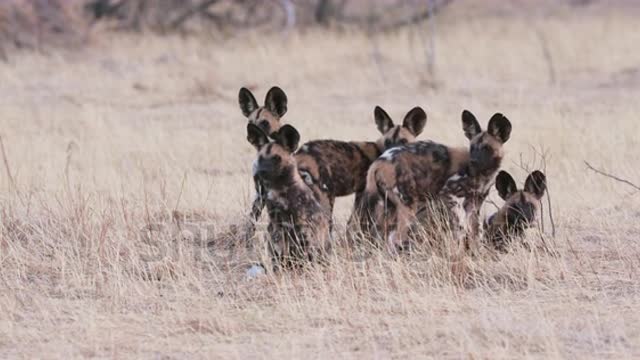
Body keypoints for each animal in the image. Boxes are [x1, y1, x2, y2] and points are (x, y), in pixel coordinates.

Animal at [246, 122, 330, 266]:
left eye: (276, 158)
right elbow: (278, 257)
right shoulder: (276, 229)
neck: (280, 191)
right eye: (261, 158)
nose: (260, 172)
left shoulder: (303, 229)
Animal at [362, 109, 512, 253]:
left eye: (487, 148)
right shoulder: (448, 193)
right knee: (395, 239)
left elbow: (476, 234)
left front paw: (477, 254)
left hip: (388, 208)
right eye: (472, 148)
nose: (473, 161)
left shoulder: (474, 204)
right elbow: (461, 226)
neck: (484, 175)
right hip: (408, 207)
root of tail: (379, 162)